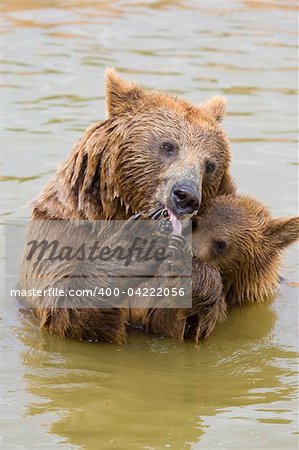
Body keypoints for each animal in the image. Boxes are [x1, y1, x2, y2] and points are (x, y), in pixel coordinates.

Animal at [22, 68, 236, 342]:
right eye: (168, 146)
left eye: (209, 165)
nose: (186, 196)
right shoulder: (63, 227)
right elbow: (63, 302)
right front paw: (140, 243)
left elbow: (179, 320)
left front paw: (189, 271)